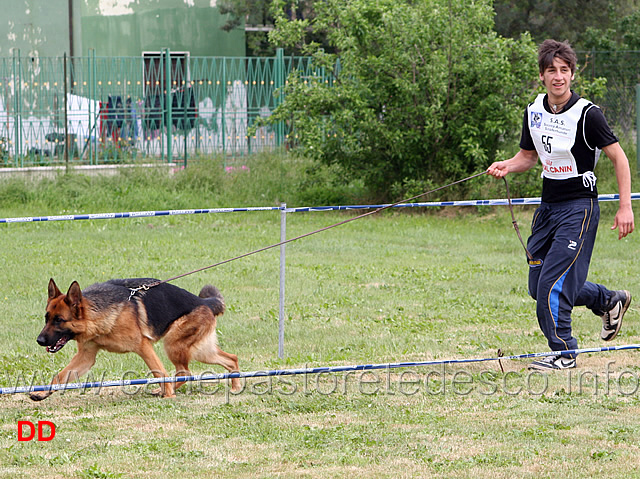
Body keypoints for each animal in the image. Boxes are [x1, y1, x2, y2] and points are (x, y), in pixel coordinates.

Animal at [30, 278, 240, 402]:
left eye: (59, 320)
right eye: (46, 318)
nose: (39, 340)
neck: (97, 316)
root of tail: (204, 302)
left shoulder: (143, 346)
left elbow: (159, 371)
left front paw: (169, 395)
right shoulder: (86, 357)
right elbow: (60, 376)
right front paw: (42, 392)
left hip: (174, 344)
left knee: (185, 372)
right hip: (201, 350)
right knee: (231, 359)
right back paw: (236, 385)